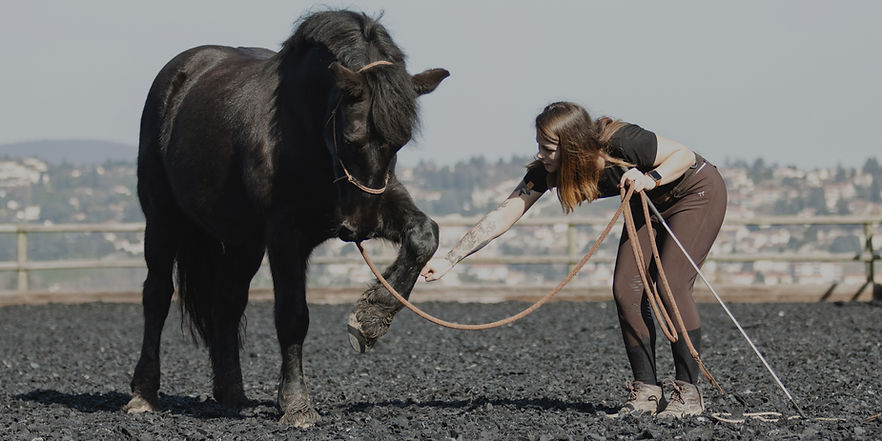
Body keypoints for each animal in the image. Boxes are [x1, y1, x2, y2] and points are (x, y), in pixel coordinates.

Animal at [122, 10, 448, 427]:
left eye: (400, 142)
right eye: (351, 137)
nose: (361, 227)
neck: (306, 132)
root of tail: (180, 74)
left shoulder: (380, 201)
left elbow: (424, 235)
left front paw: (372, 314)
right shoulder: (285, 237)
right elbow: (292, 317)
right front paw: (296, 405)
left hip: (243, 240)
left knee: (226, 303)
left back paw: (231, 394)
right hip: (162, 218)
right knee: (157, 295)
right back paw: (144, 394)